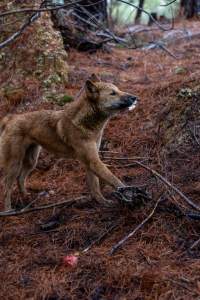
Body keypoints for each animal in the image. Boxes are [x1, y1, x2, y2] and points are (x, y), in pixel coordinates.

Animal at [0, 74, 138, 211]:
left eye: (119, 90)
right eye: (113, 93)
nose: (135, 97)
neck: (85, 123)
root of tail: (11, 118)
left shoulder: (90, 162)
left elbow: (95, 187)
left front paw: (102, 202)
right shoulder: (93, 162)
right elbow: (115, 181)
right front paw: (130, 193)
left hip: (31, 161)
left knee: (20, 179)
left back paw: (26, 198)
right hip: (14, 164)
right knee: (6, 188)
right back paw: (8, 211)